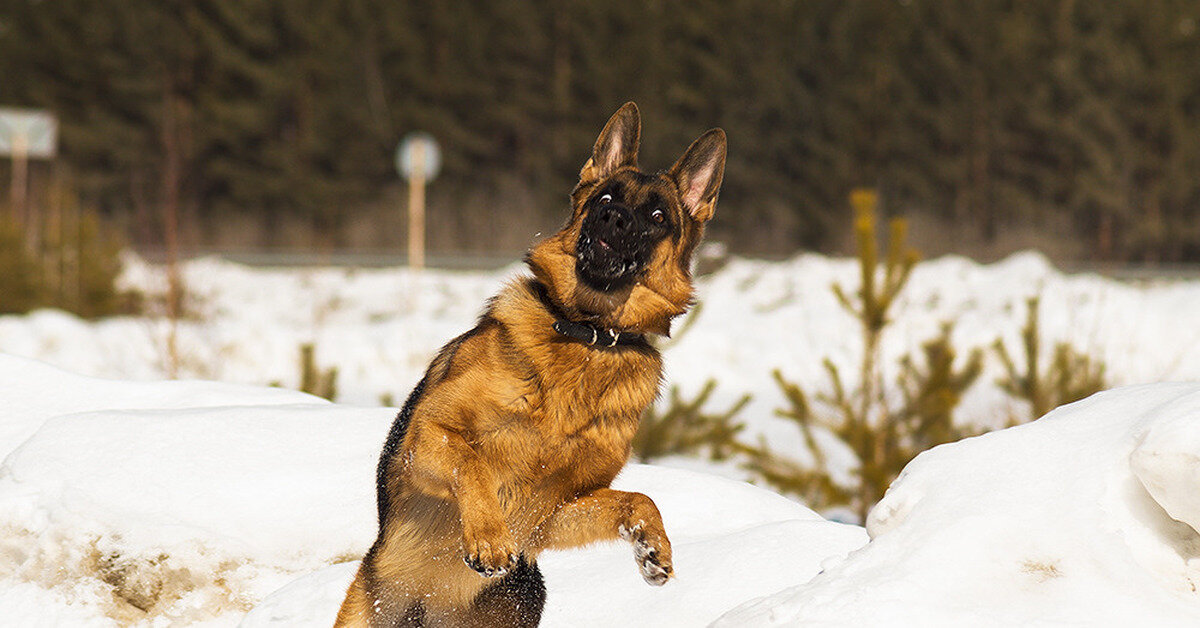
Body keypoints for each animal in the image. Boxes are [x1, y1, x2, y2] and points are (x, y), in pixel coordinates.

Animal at [338, 103, 729, 628]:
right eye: (605, 197)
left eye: (656, 215)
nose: (611, 218)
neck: (587, 334)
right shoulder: (426, 436)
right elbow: (473, 462)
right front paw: (488, 536)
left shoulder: (552, 513)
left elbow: (637, 498)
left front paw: (653, 545)